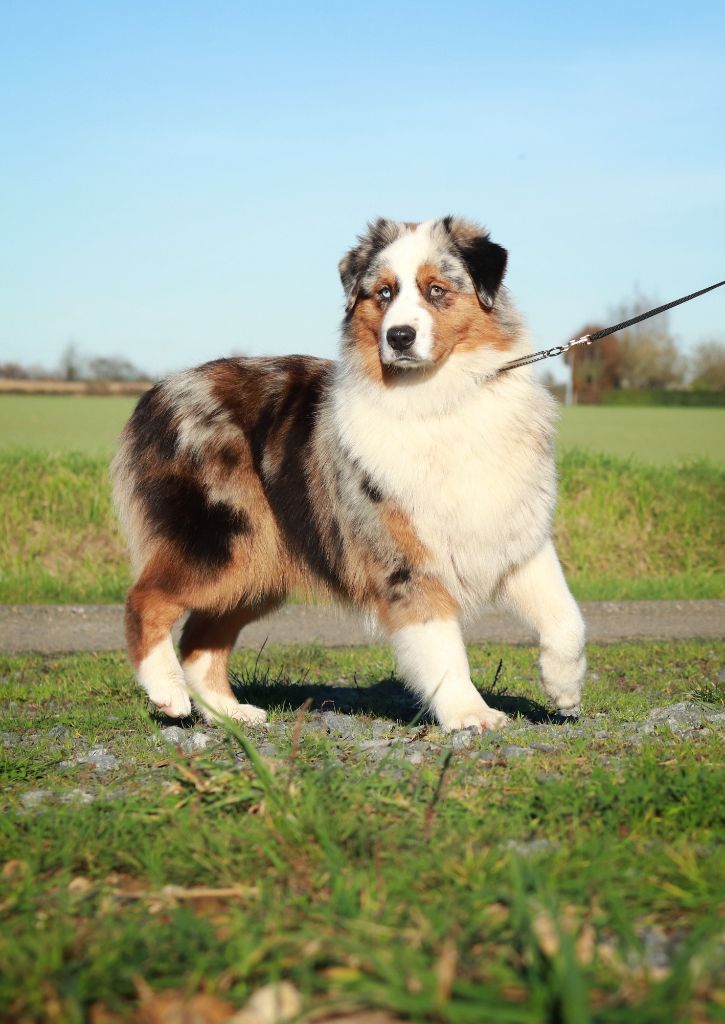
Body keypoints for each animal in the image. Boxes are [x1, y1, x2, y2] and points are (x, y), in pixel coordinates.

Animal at [114, 218, 589, 729]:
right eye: (383, 293)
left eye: (436, 290)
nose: (399, 336)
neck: (441, 397)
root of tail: (160, 390)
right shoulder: (406, 558)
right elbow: (443, 648)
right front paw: (470, 713)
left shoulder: (514, 535)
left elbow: (567, 617)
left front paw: (563, 688)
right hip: (224, 540)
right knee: (144, 599)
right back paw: (168, 692)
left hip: (259, 561)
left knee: (201, 639)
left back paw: (230, 713)